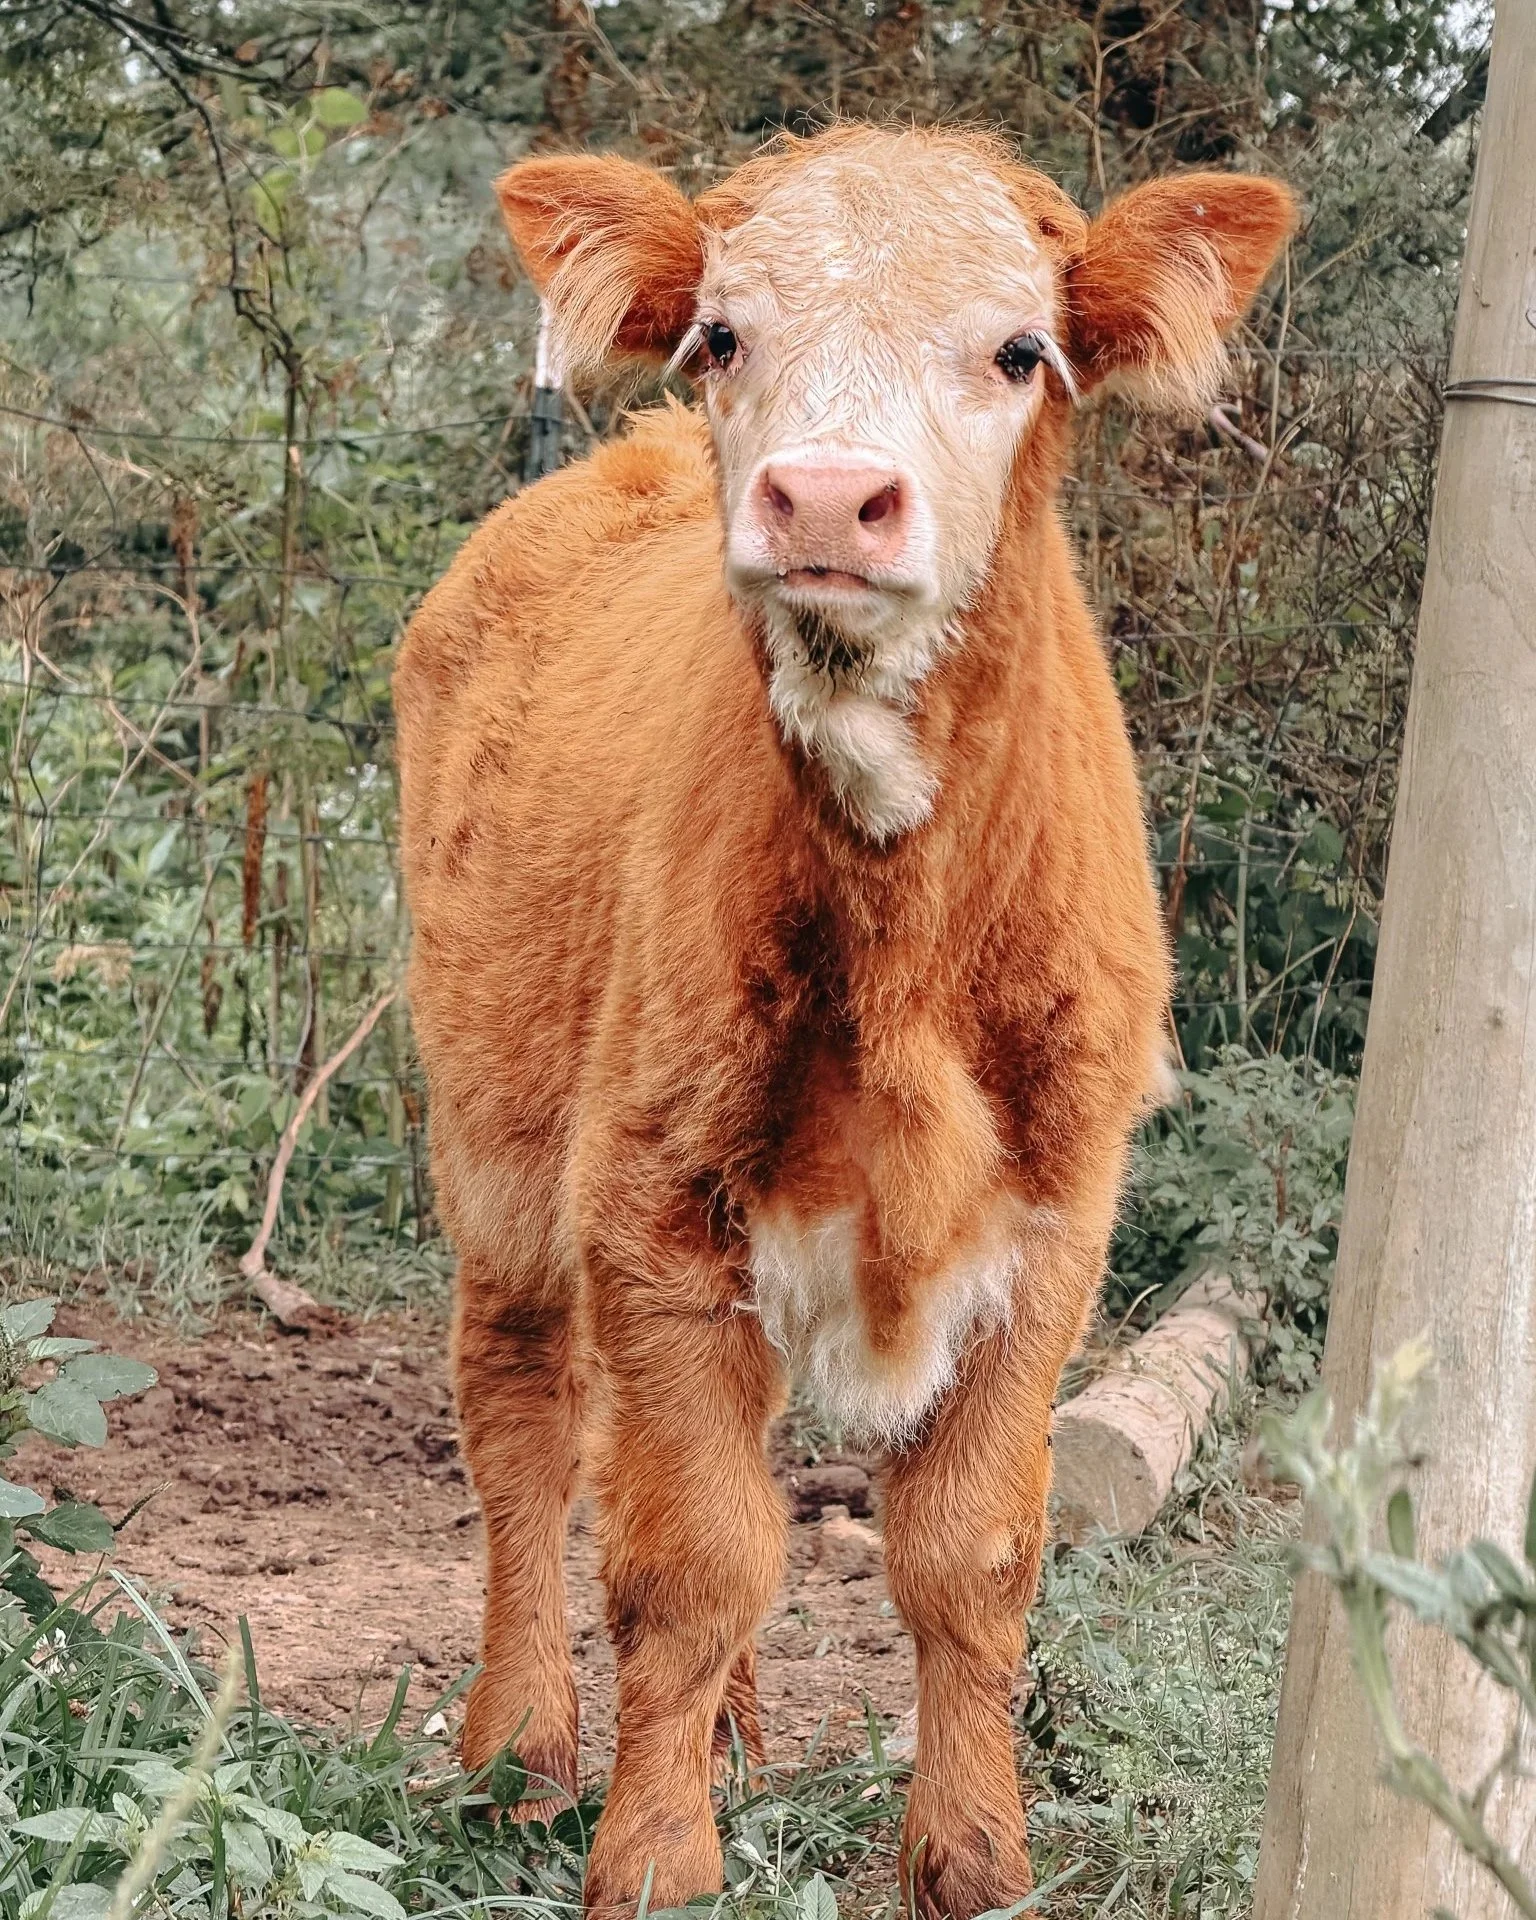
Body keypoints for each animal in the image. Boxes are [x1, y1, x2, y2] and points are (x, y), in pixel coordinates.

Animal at [393, 122, 1294, 1919]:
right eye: (721, 336)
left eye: (1019, 352)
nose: (820, 494)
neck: (906, 940)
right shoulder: (648, 1191)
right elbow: (693, 1557)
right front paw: (654, 1859)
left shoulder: (1055, 1224)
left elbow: (969, 1554)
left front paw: (972, 1857)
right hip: (497, 1136)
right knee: (524, 1419)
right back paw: (520, 1749)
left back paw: (729, 1737)